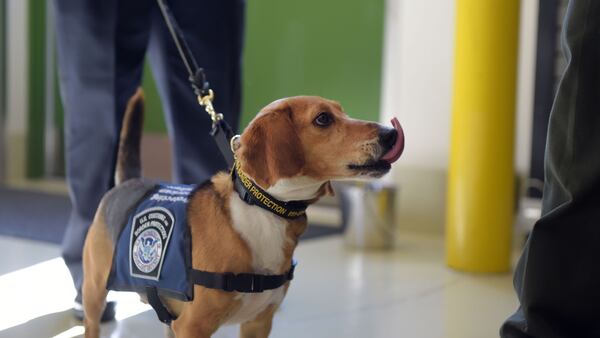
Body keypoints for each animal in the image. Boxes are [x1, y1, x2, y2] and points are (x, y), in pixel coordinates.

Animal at [82, 90, 404, 338]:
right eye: (322, 119)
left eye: (342, 112)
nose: (391, 134)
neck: (264, 209)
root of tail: (130, 182)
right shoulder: (192, 327)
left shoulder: (258, 323)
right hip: (94, 293)